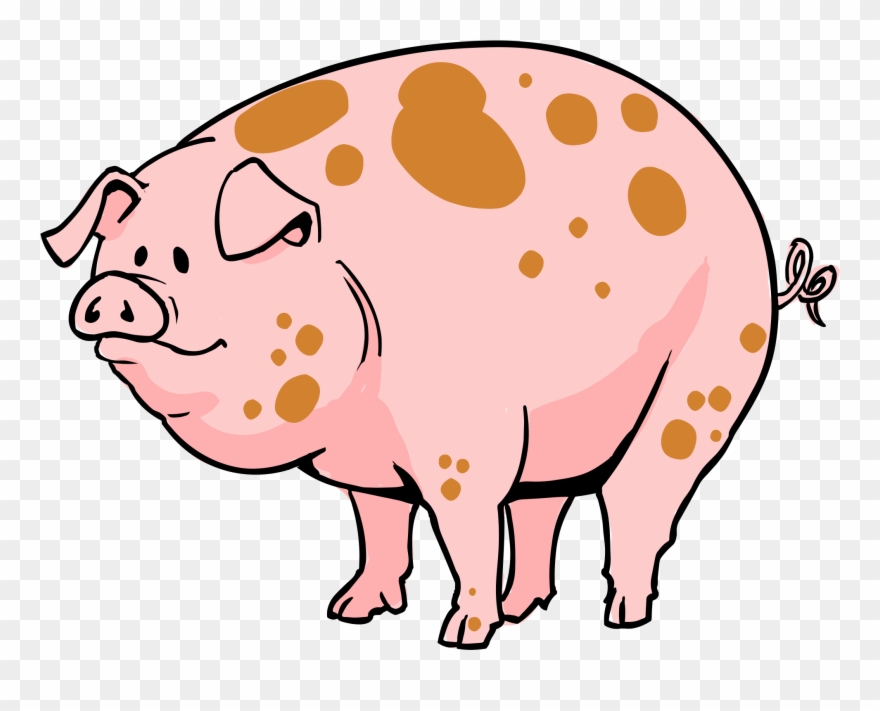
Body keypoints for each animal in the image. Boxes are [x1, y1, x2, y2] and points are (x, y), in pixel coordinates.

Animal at [41, 41, 839, 649]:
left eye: (182, 260)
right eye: (123, 254)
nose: (110, 293)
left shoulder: (466, 437)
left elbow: (464, 527)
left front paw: (460, 636)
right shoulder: (363, 462)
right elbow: (380, 525)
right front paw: (350, 611)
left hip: (703, 378)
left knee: (641, 498)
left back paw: (621, 617)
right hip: (560, 432)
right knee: (544, 506)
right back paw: (525, 608)